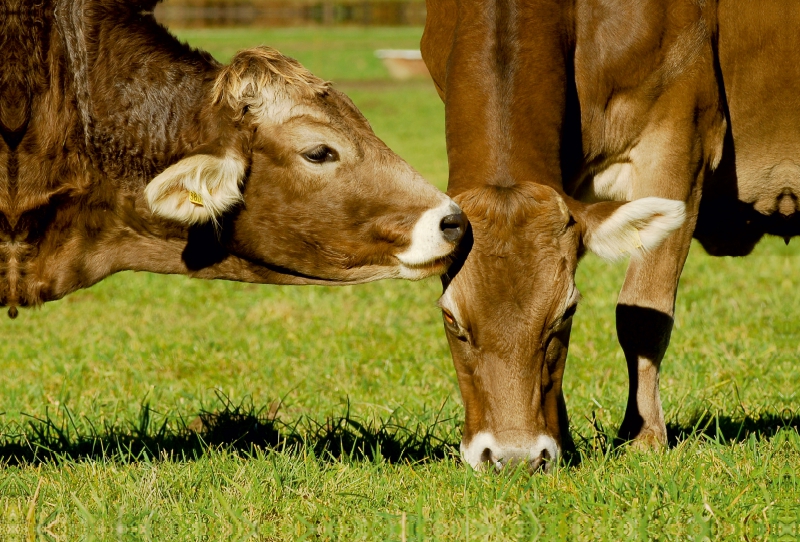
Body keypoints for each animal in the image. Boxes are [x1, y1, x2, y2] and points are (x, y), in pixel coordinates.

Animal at [422, 0, 796, 472]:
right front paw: (563, 439)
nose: (516, 457)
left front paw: (643, 437)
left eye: (565, 312)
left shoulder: (680, 131)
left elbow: (643, 311)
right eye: (450, 318)